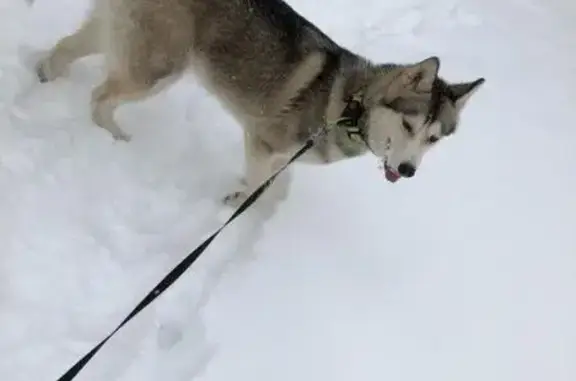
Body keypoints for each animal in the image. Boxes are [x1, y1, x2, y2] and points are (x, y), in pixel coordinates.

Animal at [32, 0, 486, 205]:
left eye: (434, 139)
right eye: (409, 126)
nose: (408, 171)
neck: (350, 106)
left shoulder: (280, 155)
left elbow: (269, 183)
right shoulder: (264, 141)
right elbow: (255, 186)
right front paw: (237, 206)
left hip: (122, 36)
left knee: (67, 49)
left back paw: (43, 77)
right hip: (160, 68)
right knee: (100, 96)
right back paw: (113, 137)